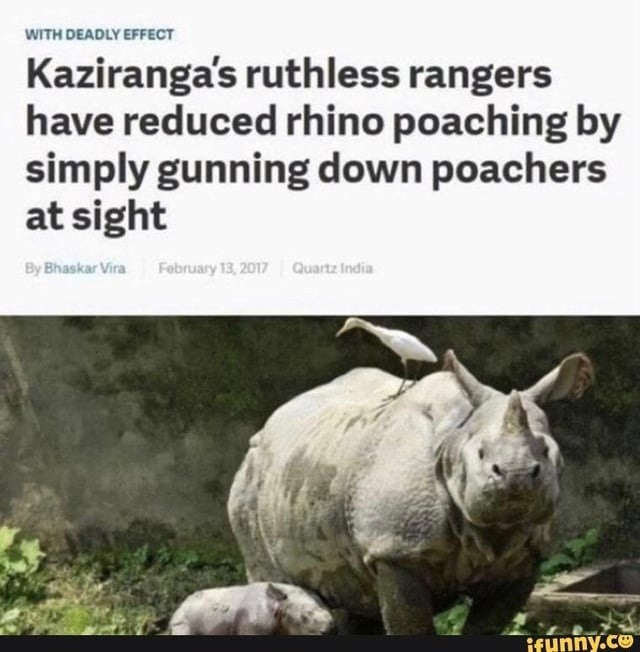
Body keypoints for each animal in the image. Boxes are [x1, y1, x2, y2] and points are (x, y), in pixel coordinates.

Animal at [227, 350, 594, 634]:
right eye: (480, 454)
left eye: (546, 453)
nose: (516, 475)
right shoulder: (394, 549)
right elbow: (411, 625)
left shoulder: (524, 562)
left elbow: (486, 627)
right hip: (249, 483)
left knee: (356, 601)